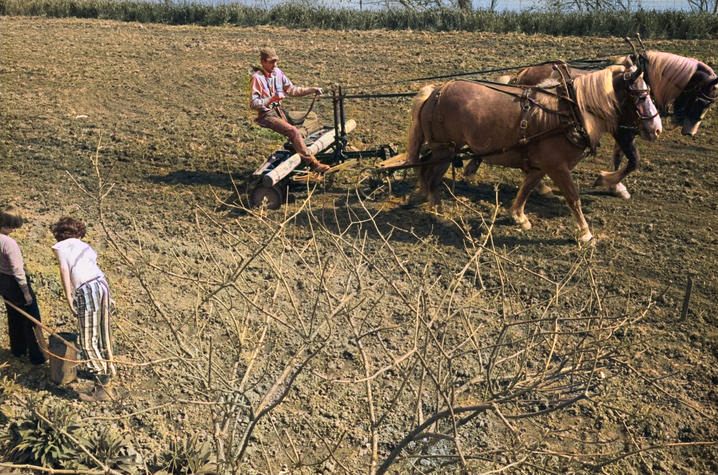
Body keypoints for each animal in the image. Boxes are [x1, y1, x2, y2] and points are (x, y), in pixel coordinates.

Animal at [408, 65, 660, 244]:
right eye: (640, 96)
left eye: (649, 93)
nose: (656, 129)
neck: (571, 111)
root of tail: (436, 92)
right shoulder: (557, 166)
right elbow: (573, 197)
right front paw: (586, 233)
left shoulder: (542, 165)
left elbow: (527, 188)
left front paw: (519, 216)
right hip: (445, 149)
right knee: (431, 177)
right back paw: (438, 211)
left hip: (444, 149)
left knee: (426, 173)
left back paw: (425, 199)